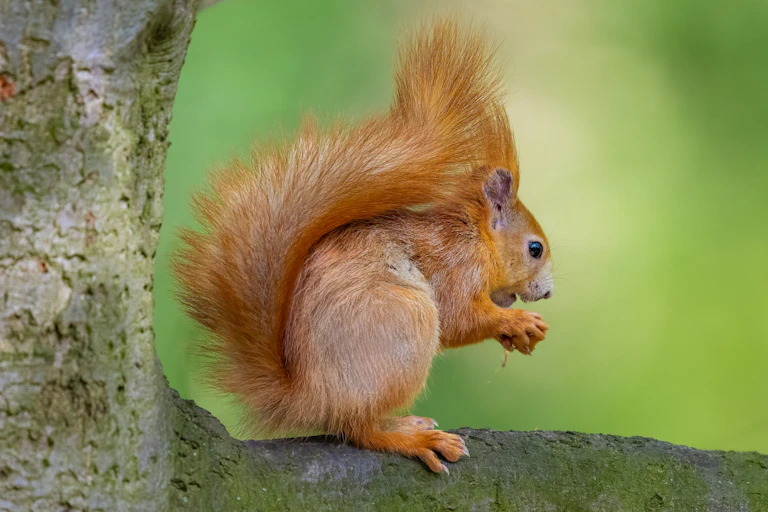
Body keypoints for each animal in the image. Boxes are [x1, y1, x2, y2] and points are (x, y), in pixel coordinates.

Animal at [172, 19, 553, 473]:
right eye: (535, 249)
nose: (548, 292)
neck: (475, 237)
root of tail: (310, 395)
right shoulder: (456, 266)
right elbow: (460, 317)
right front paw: (517, 323)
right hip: (405, 322)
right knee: (359, 427)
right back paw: (412, 437)